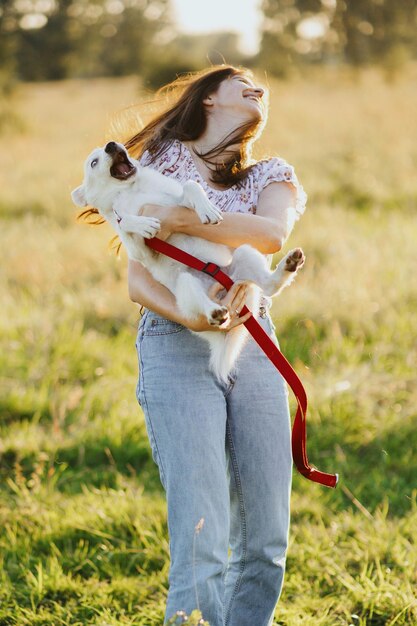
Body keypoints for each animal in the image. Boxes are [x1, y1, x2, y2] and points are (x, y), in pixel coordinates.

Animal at [71, 141, 304, 380]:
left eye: (110, 147)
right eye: (93, 162)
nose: (111, 145)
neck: (132, 190)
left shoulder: (176, 201)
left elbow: (191, 186)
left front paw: (207, 209)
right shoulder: (140, 251)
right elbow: (125, 222)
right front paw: (141, 224)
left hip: (244, 254)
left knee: (270, 286)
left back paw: (289, 265)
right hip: (186, 285)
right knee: (204, 304)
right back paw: (215, 312)